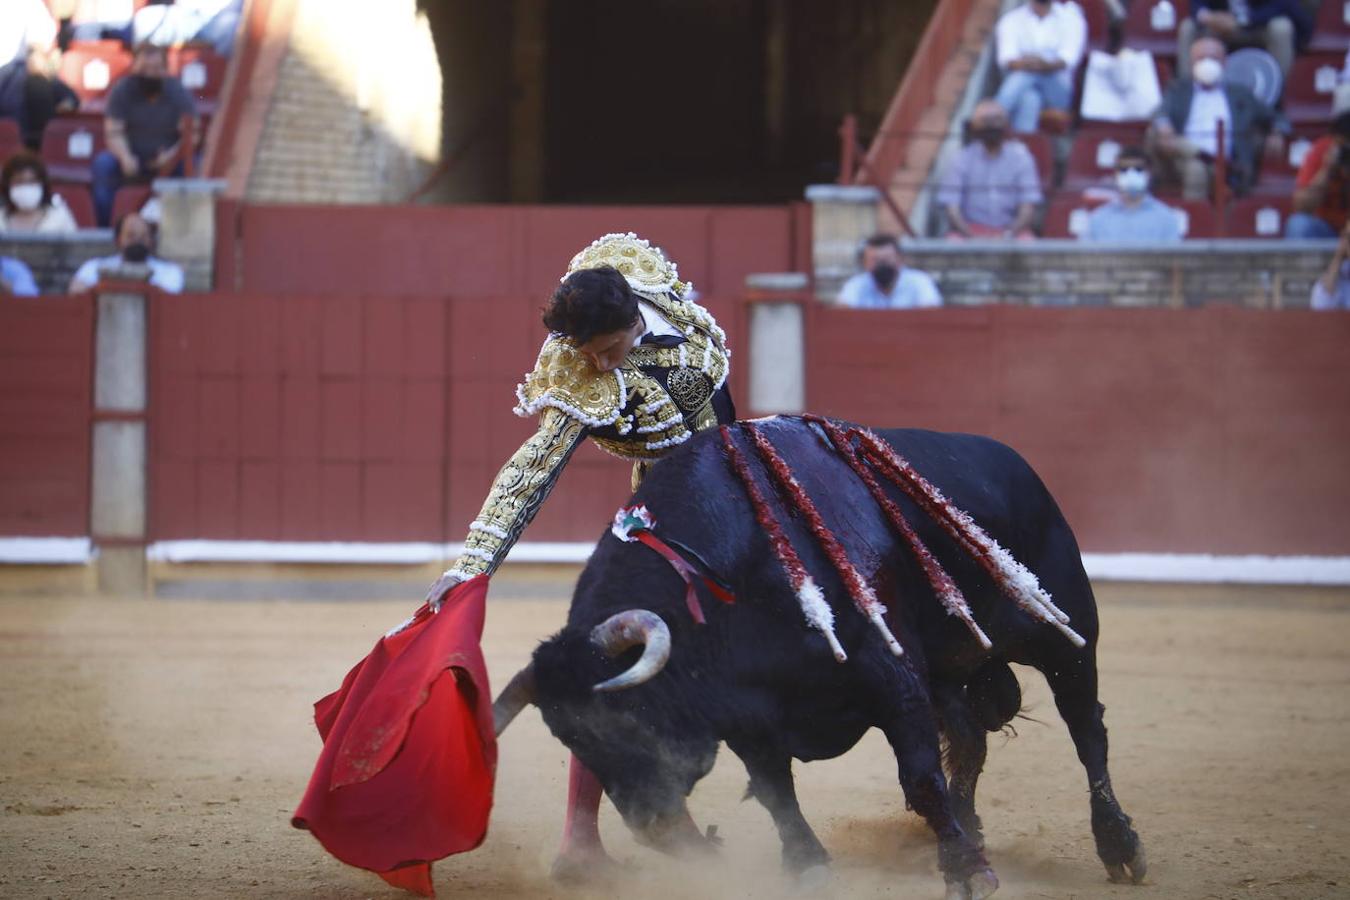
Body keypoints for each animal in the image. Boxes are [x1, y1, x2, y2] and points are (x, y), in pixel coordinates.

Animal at [496, 418, 1150, 895]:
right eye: (571, 740)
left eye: (630, 718)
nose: (654, 827)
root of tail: (1019, 466)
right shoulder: (748, 711)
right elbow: (776, 790)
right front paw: (808, 864)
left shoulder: (892, 676)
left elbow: (919, 777)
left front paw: (967, 873)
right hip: (948, 670)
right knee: (969, 740)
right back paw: (967, 832)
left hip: (1065, 635)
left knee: (1087, 731)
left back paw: (1118, 847)